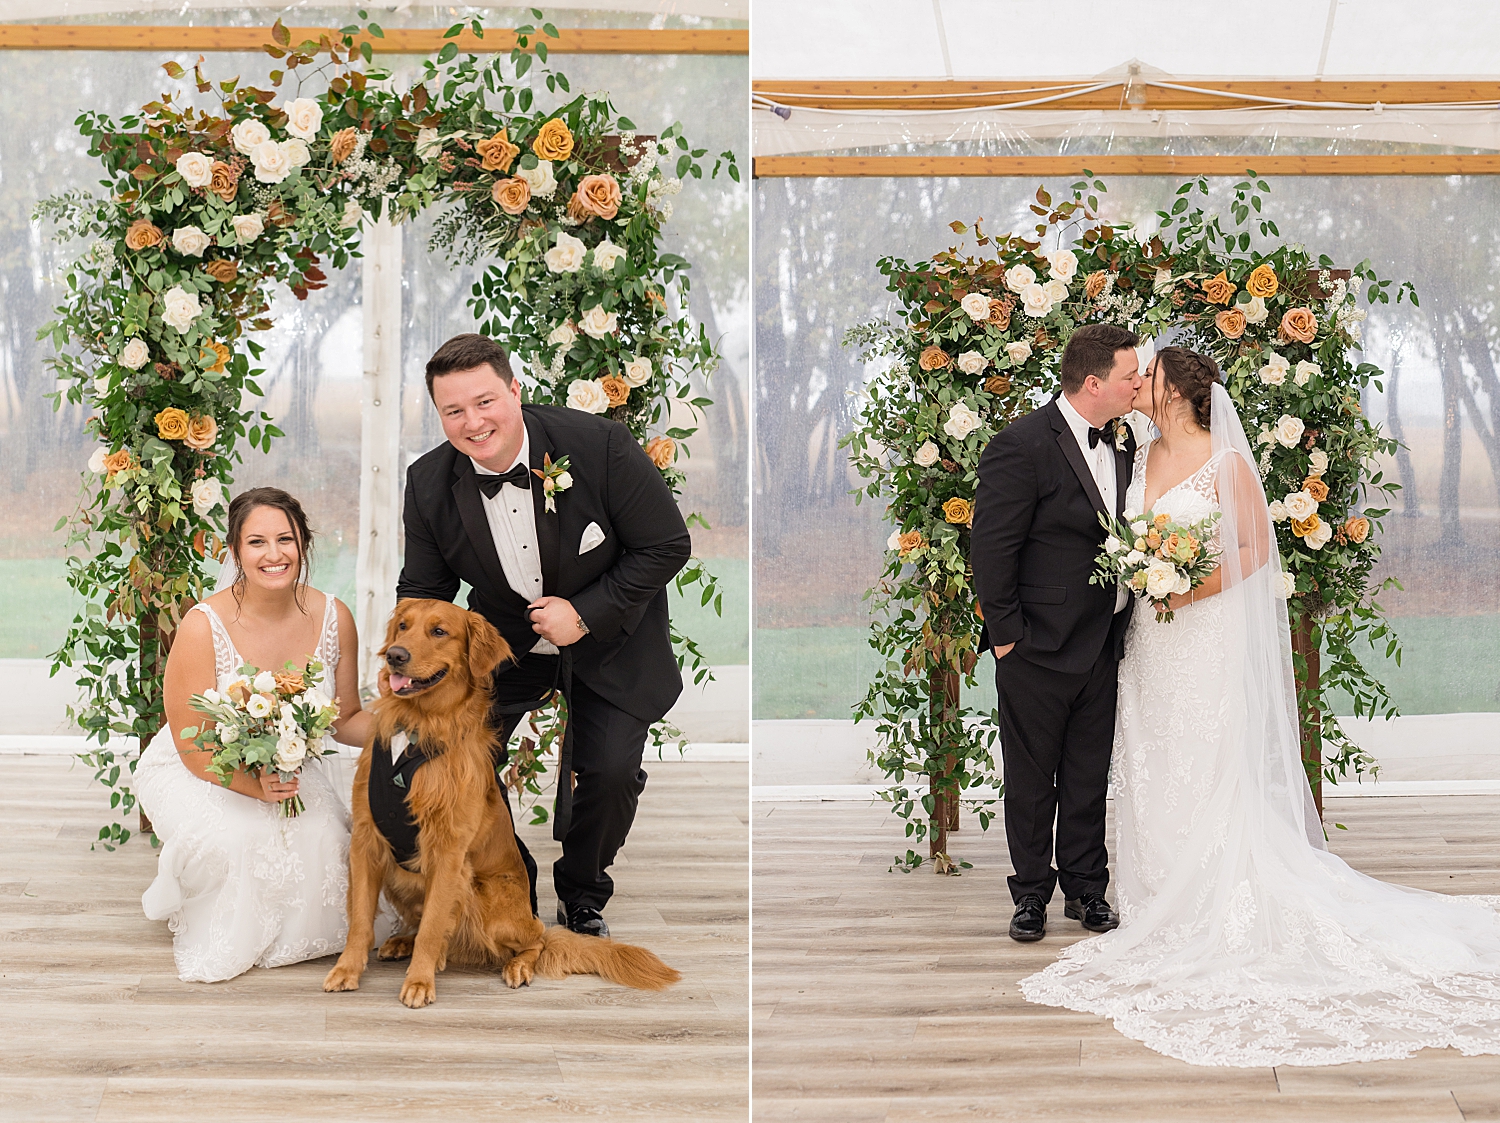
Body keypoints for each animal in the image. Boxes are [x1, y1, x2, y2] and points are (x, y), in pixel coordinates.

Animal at [328, 596, 687, 1007]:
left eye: (439, 631)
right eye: (403, 626)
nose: (395, 656)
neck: (419, 725)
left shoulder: (448, 852)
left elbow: (434, 925)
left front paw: (419, 981)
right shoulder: (366, 841)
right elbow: (359, 919)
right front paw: (346, 969)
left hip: (486, 898)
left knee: (536, 939)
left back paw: (514, 965)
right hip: (401, 878)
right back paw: (405, 941)